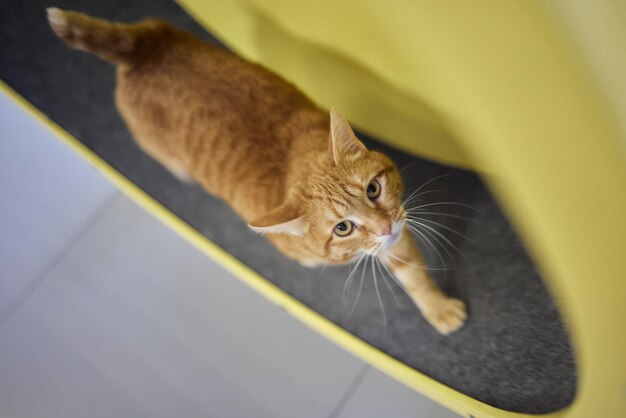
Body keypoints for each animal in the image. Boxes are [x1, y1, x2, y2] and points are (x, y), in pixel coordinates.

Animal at [48, 8, 466, 334]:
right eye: (343, 228)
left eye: (373, 190)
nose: (385, 227)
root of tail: (144, 47)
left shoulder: (397, 233)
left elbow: (414, 276)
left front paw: (437, 307)